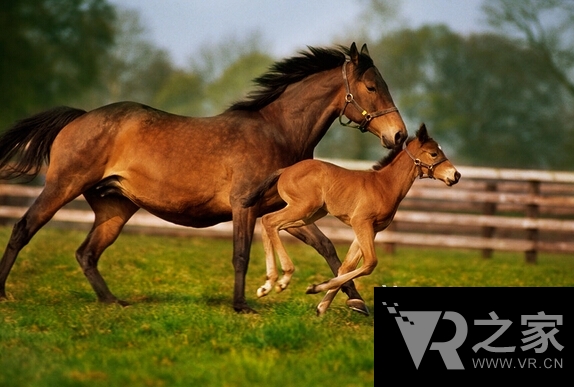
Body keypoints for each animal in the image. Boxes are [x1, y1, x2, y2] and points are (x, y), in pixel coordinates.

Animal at [0, 42, 408, 316]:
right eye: (372, 87)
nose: (399, 136)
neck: (278, 132)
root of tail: (79, 117)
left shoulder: (287, 211)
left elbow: (328, 249)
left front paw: (355, 302)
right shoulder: (246, 206)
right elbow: (241, 255)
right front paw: (243, 305)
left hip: (113, 208)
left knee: (86, 253)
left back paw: (113, 301)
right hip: (63, 186)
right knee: (23, 229)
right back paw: (4, 293)